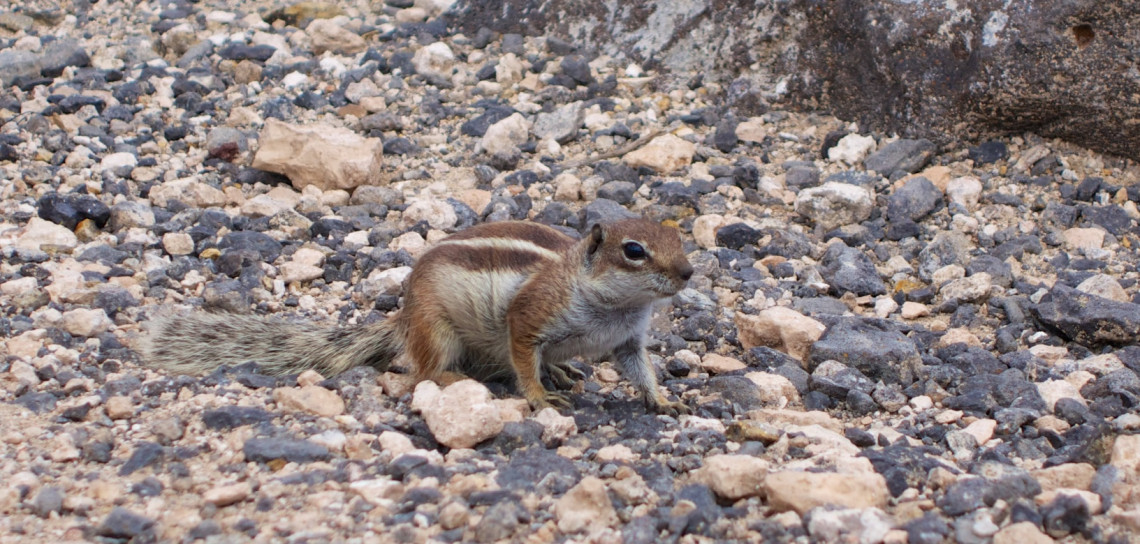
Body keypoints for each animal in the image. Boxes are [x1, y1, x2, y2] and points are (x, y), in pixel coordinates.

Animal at [142, 218, 693, 412]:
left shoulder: (628, 340)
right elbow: (521, 354)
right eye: (634, 250)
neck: (613, 307)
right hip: (436, 328)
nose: (689, 272)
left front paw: (665, 401)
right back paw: (464, 380)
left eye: (679, 236)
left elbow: (640, 371)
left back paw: (560, 369)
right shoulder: (528, 317)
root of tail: (404, 317)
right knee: (425, 373)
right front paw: (538, 399)